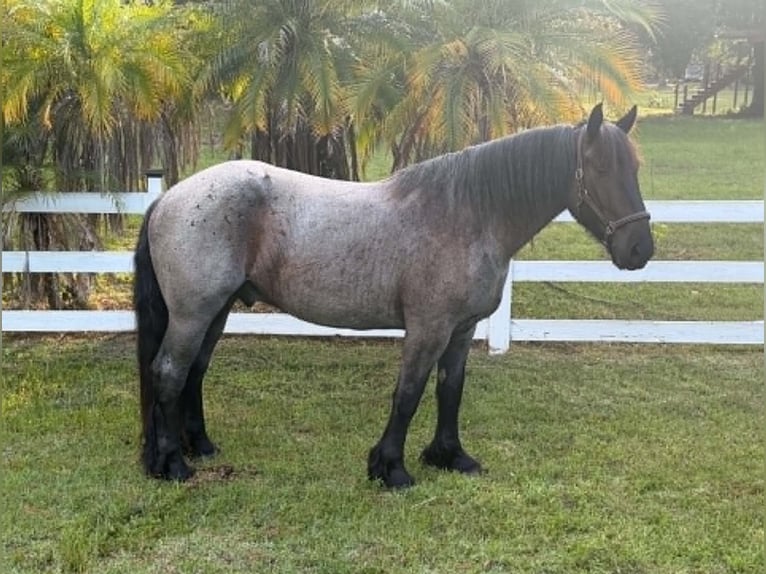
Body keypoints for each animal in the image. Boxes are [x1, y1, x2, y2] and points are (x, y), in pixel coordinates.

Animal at [133, 103, 653, 488]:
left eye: (635, 167)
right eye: (600, 167)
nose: (640, 249)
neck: (467, 214)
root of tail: (168, 198)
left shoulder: (461, 331)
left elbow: (450, 390)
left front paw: (450, 457)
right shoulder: (427, 329)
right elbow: (408, 393)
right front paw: (391, 469)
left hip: (216, 311)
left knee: (194, 373)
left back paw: (198, 447)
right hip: (192, 314)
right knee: (169, 374)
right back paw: (173, 464)